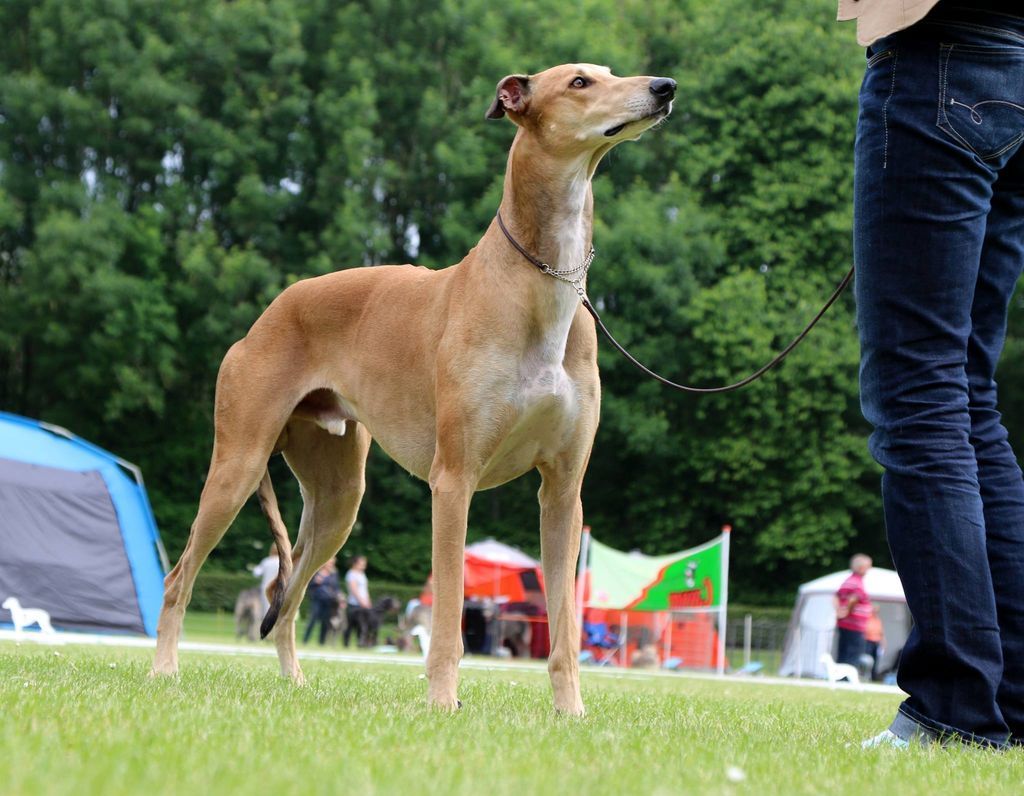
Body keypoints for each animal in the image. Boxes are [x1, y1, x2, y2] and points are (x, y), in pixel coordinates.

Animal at [151, 60, 675, 708]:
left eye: (606, 71)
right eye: (579, 82)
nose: (665, 88)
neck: (541, 283)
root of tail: (270, 313)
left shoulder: (562, 492)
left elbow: (565, 633)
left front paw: (570, 714)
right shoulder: (453, 482)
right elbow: (447, 619)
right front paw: (443, 704)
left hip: (339, 499)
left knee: (288, 596)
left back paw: (295, 682)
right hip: (237, 466)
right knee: (180, 577)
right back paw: (164, 671)